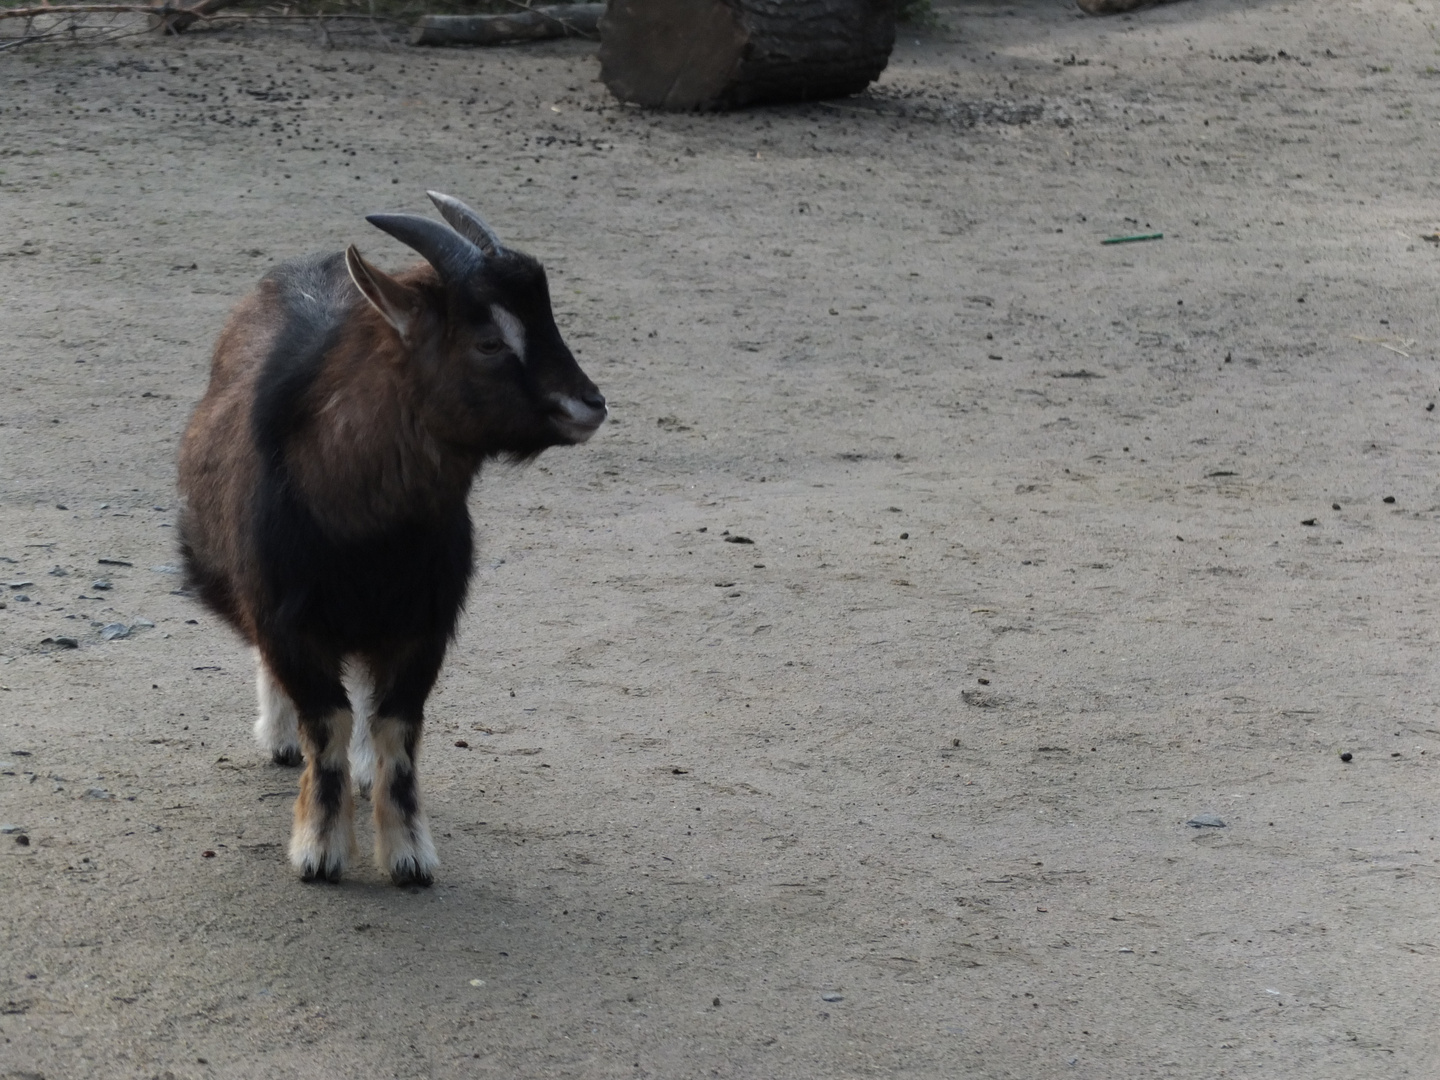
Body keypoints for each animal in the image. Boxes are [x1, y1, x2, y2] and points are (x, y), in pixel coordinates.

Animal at [177, 197, 604, 887]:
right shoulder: (288, 618)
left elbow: (395, 729)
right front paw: (319, 851)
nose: (590, 404)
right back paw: (281, 736)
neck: (369, 531)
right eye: (489, 341)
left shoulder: (422, 623)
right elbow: (327, 722)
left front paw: (409, 855)